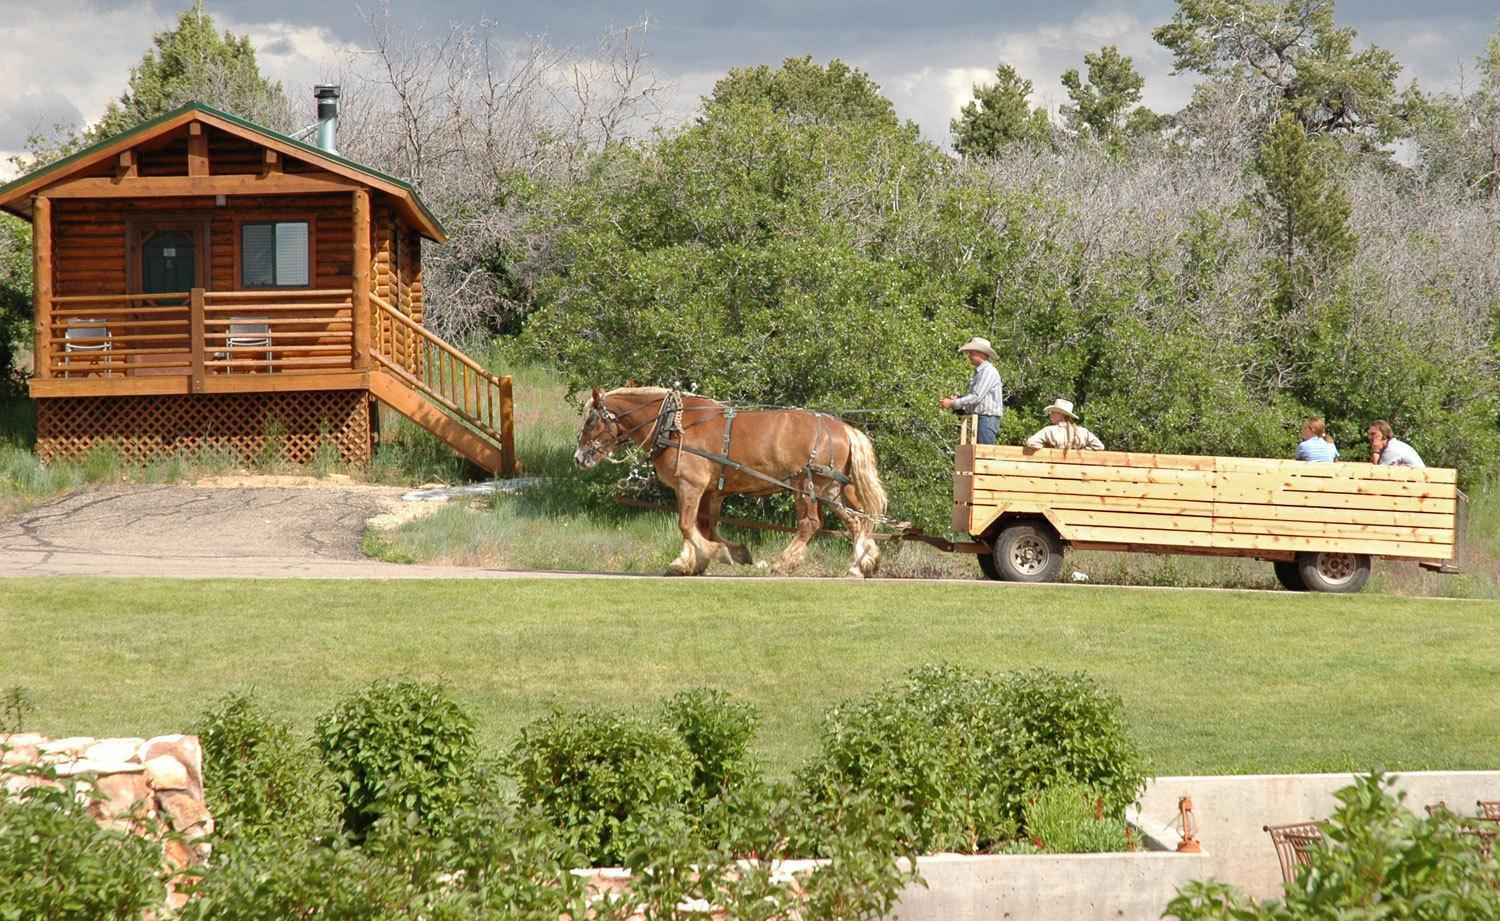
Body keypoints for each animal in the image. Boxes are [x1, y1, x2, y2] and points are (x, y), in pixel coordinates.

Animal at [567, 387, 882, 576]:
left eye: (591, 420)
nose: (579, 457)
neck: (675, 425)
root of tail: (842, 427)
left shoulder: (690, 484)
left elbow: (686, 524)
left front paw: (713, 555)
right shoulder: (710, 491)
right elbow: (705, 526)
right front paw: (704, 559)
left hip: (806, 486)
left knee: (811, 524)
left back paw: (782, 564)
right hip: (830, 488)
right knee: (856, 521)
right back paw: (858, 565)